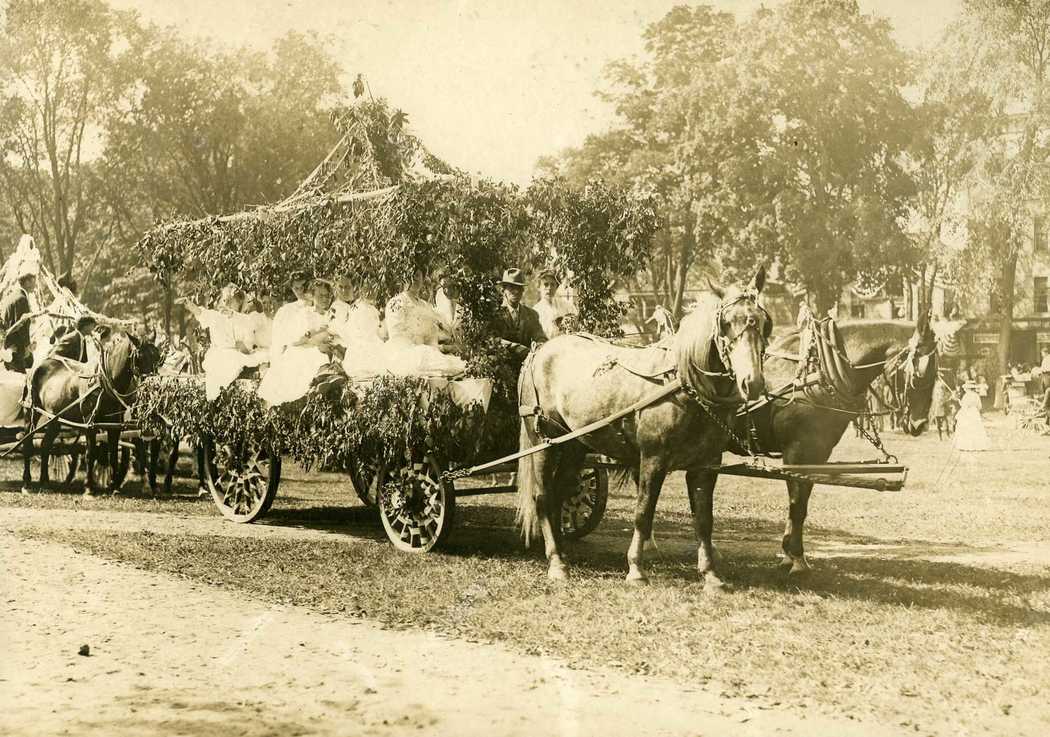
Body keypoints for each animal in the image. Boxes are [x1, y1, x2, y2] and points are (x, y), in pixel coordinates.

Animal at [24, 329, 153, 495]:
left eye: (158, 357)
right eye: (140, 357)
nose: (151, 386)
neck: (103, 382)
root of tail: (40, 364)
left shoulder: (114, 424)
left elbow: (112, 453)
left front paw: (113, 486)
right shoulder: (89, 423)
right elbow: (90, 453)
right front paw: (89, 487)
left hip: (54, 418)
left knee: (45, 445)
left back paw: (45, 482)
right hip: (33, 412)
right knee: (27, 442)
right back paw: (27, 482)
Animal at [516, 268, 772, 587]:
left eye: (764, 322)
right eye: (726, 324)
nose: (753, 383)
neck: (683, 383)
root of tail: (540, 350)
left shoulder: (706, 465)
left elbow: (704, 519)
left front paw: (711, 575)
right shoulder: (652, 460)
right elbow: (643, 513)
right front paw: (636, 569)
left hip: (576, 445)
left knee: (560, 493)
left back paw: (562, 553)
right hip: (545, 441)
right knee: (542, 497)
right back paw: (555, 563)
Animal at [726, 314, 940, 575]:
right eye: (919, 373)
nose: (919, 424)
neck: (815, 376)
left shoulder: (817, 455)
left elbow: (801, 501)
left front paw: (789, 554)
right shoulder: (797, 452)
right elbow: (797, 505)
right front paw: (797, 559)